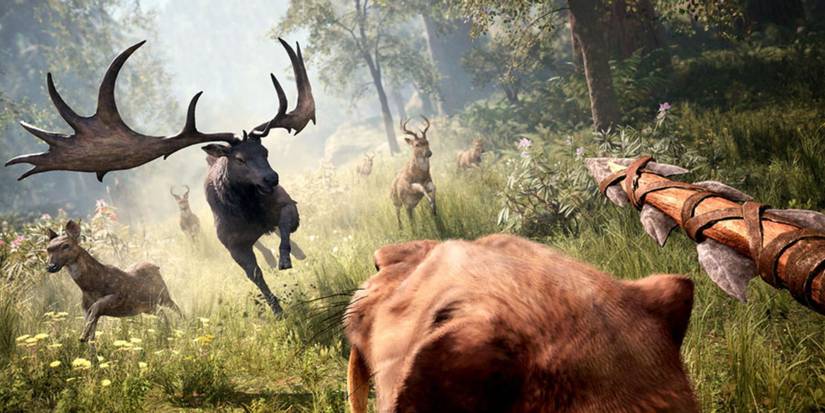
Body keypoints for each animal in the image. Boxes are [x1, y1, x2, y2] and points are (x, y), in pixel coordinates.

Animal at [7, 39, 315, 316]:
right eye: (239, 159)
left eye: (265, 150)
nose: (271, 179)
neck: (249, 211)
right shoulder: (230, 241)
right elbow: (255, 274)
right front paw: (278, 310)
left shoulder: (287, 204)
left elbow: (285, 225)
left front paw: (287, 259)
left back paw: (294, 253)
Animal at [45, 220, 181, 342]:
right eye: (48, 249)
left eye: (66, 245)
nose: (51, 266)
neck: (91, 285)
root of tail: (156, 266)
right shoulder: (86, 309)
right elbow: (92, 336)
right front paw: (86, 341)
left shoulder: (118, 296)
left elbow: (96, 306)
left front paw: (82, 336)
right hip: (148, 306)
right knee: (162, 313)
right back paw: (168, 332)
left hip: (163, 295)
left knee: (176, 308)